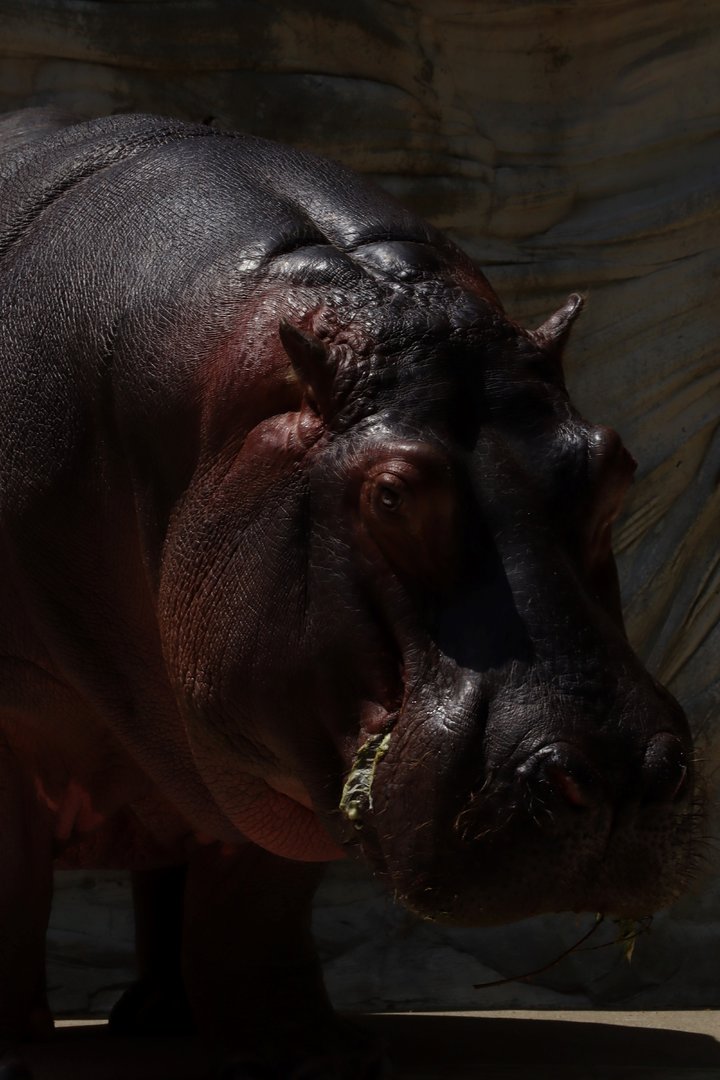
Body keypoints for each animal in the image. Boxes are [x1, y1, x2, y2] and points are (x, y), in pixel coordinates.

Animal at [0, 110, 698, 1078]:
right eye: (392, 496)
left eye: (616, 464)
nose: (624, 776)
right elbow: (8, 881)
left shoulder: (286, 736)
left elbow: (258, 899)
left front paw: (312, 1051)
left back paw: (160, 1019)